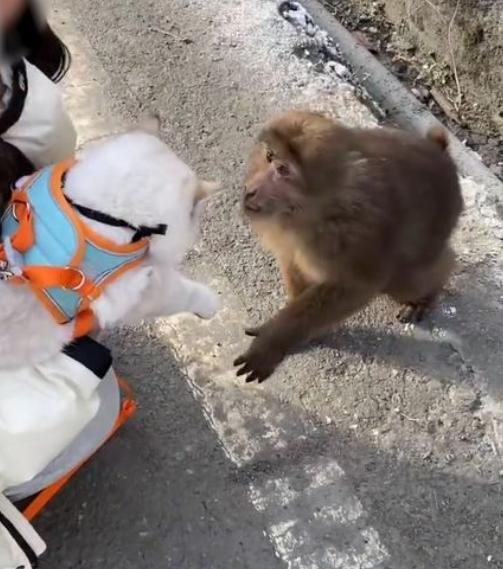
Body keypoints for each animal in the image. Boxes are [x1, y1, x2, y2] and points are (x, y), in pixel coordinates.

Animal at [235, 110, 464, 382]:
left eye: (283, 170)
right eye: (269, 156)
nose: (251, 190)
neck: (318, 210)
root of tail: (439, 151)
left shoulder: (356, 235)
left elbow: (357, 287)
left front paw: (274, 339)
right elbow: (292, 261)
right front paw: (307, 331)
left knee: (408, 280)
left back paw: (428, 294)